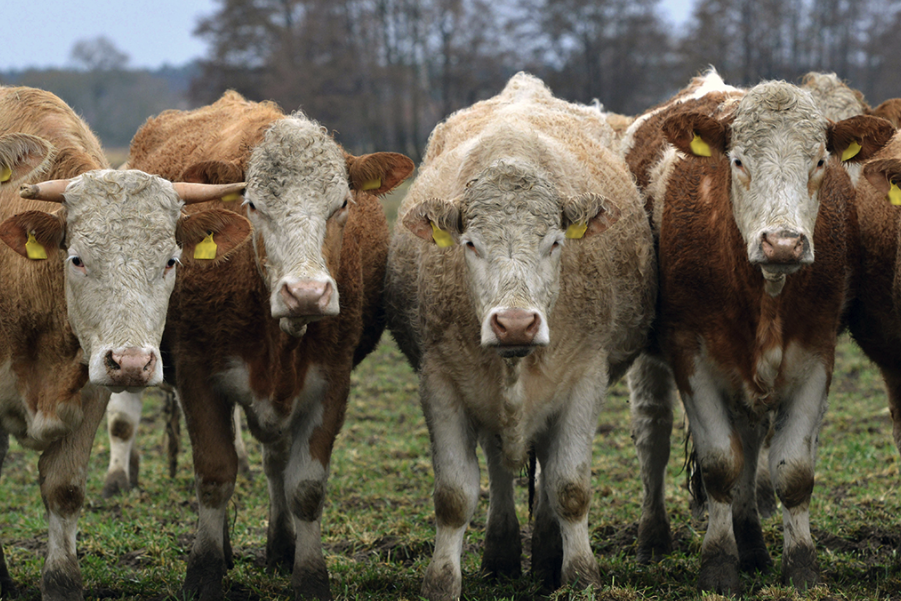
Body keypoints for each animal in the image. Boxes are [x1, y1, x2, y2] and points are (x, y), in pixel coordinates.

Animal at [0, 86, 250, 600]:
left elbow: (64, 489)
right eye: (77, 259)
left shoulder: (90, 390)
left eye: (172, 260)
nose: (133, 363)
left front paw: (61, 583)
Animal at [125, 90, 414, 600]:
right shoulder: (198, 376)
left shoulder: (331, 380)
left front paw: (309, 574)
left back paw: (281, 547)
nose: (306, 293)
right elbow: (215, 474)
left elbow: (306, 486)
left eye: (342, 203)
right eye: (254, 205)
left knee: (276, 461)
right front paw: (204, 571)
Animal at [384, 72, 656, 596]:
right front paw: (441, 582)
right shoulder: (440, 382)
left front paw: (580, 575)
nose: (514, 322)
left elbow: (569, 486)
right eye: (471, 244)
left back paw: (548, 555)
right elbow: (454, 495)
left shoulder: (585, 378)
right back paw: (503, 554)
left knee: (547, 468)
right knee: (499, 464)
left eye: (554, 241)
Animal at [620, 69, 892, 592]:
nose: (783, 243)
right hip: (649, 363)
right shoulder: (690, 356)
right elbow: (719, 466)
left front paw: (801, 565)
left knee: (749, 438)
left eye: (820, 161)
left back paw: (751, 543)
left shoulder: (814, 355)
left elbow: (792, 470)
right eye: (739, 160)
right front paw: (718, 566)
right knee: (653, 434)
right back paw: (653, 538)